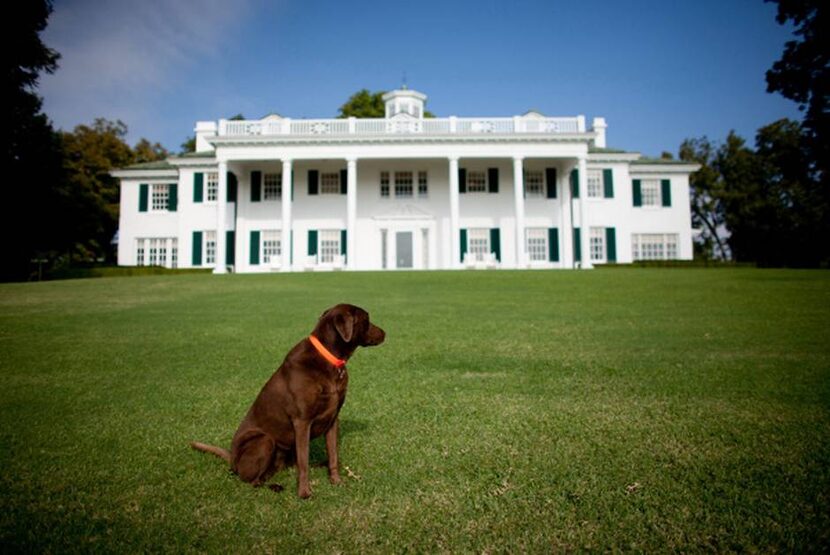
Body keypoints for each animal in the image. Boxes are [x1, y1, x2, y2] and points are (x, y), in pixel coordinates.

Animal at [190, 304, 386, 500]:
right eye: (367, 319)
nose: (385, 333)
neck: (330, 360)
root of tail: (232, 459)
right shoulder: (302, 421)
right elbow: (304, 461)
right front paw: (304, 492)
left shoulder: (333, 419)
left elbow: (332, 455)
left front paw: (336, 481)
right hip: (264, 440)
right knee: (251, 479)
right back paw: (274, 486)